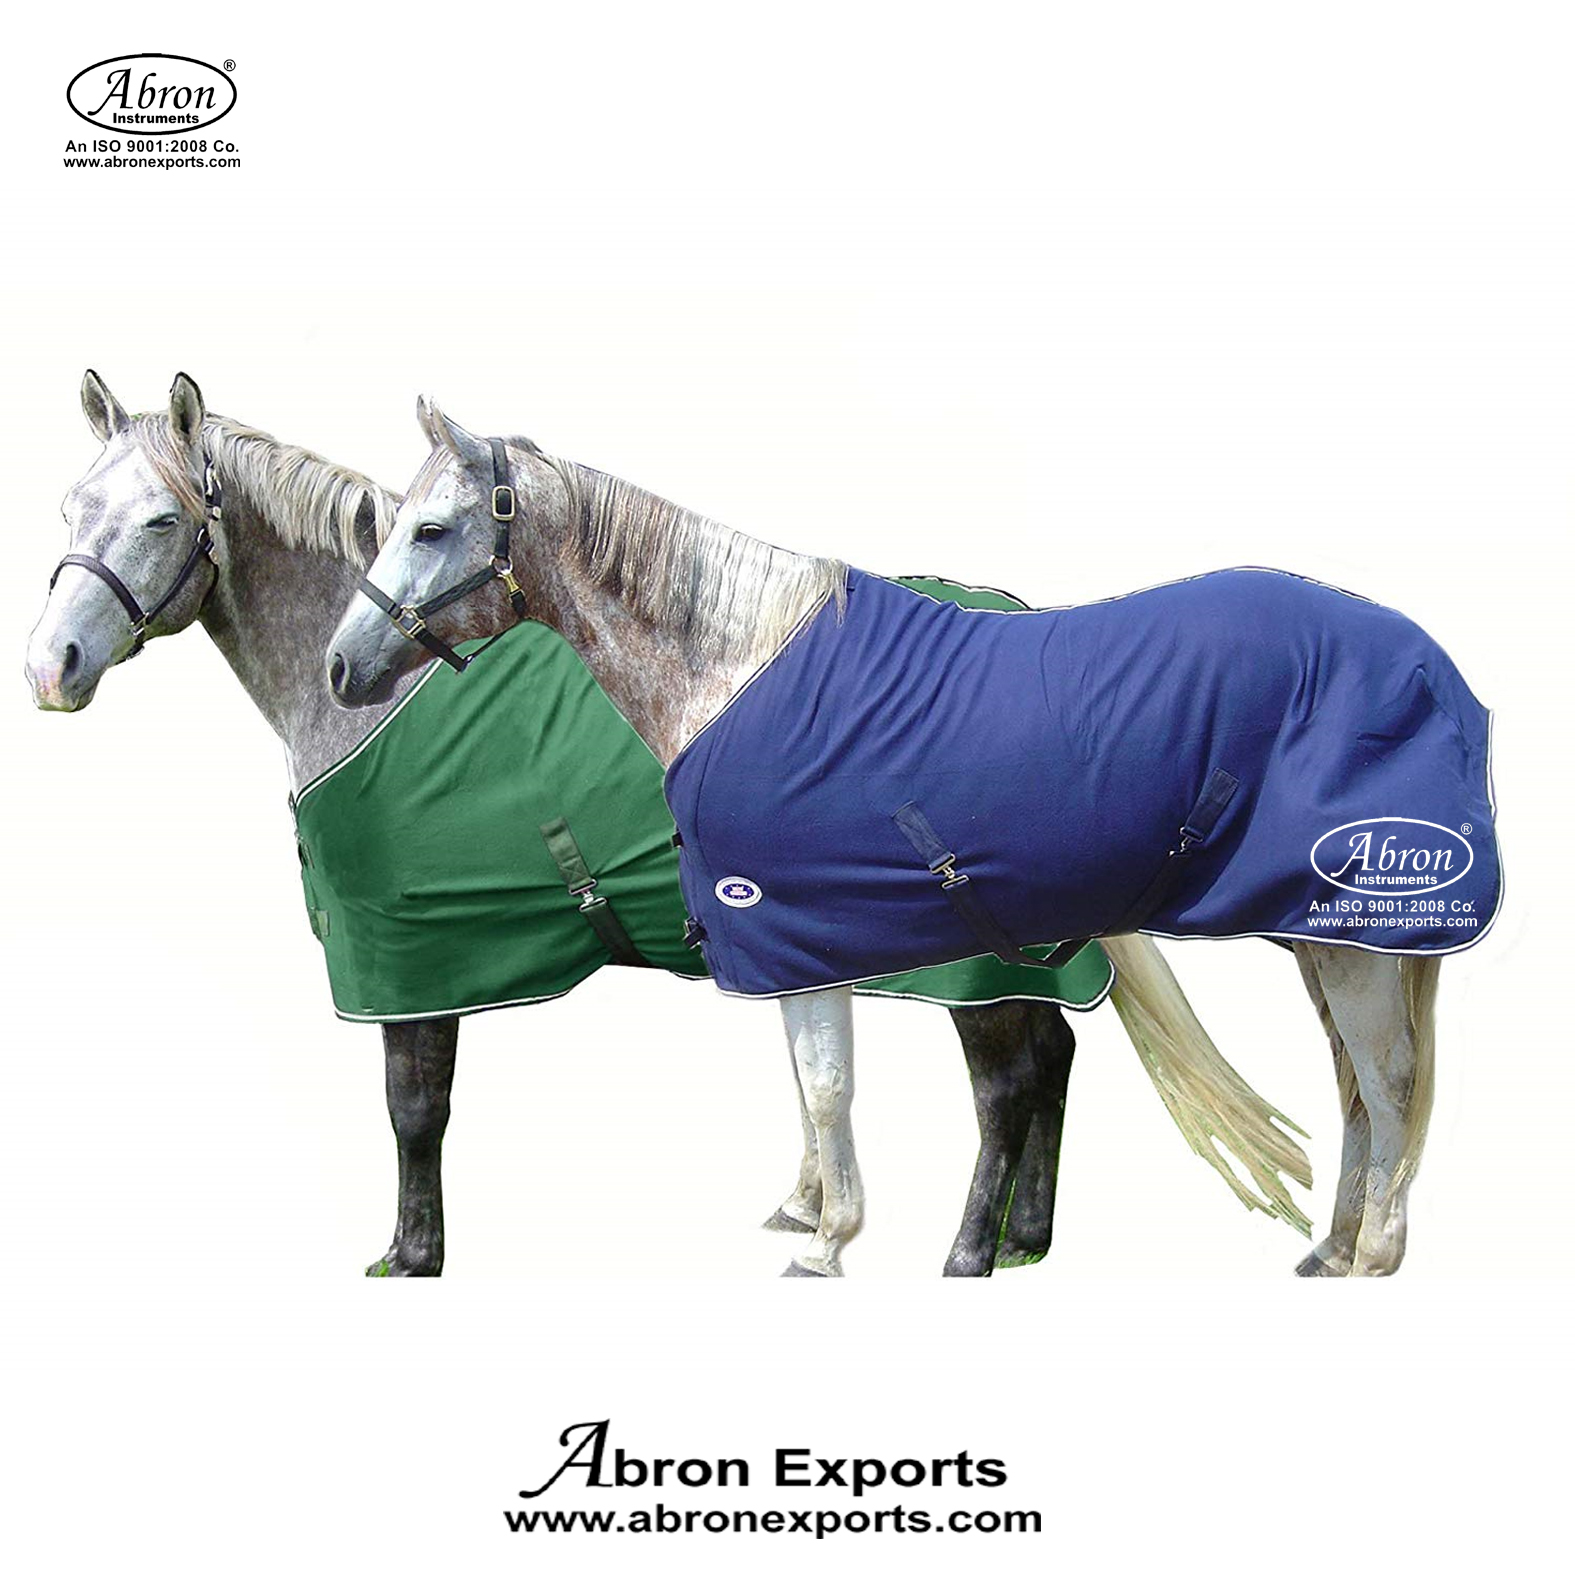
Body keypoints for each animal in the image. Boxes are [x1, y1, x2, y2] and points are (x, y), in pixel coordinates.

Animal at [28, 374, 1312, 1276]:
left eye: (158, 518)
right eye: (70, 506)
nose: (51, 668)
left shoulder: (413, 954)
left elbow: (413, 1111)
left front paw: (413, 1256)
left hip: (970, 957)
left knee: (1012, 1081)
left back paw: (973, 1253)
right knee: (1049, 1061)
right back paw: (1025, 1240)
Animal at [327, 398, 1497, 1278]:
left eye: (430, 529)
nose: (344, 669)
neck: (732, 671)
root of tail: (1431, 666)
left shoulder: (796, 935)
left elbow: (829, 1088)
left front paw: (826, 1246)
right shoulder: (802, 941)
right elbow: (819, 1083)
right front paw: (822, 1223)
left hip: (1352, 940)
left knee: (1387, 1083)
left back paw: (1368, 1256)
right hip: (1322, 938)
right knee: (1354, 1085)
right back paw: (1331, 1246)